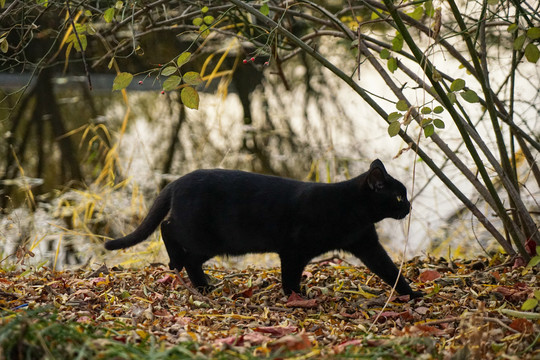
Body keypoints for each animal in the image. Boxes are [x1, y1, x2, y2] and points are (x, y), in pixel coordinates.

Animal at [105, 160, 424, 298]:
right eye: (398, 196)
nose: (409, 207)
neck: (352, 209)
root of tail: (177, 181)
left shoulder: (367, 244)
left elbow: (390, 270)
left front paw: (412, 295)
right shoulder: (294, 249)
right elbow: (290, 276)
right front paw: (296, 297)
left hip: (209, 242)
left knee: (186, 252)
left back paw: (202, 284)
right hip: (205, 238)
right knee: (168, 228)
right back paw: (178, 265)